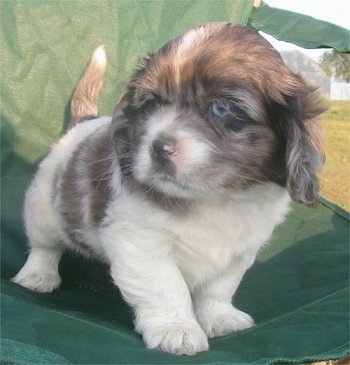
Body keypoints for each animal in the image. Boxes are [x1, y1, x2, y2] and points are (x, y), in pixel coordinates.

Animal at [13, 22, 326, 352]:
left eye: (221, 109)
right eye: (151, 103)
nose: (159, 147)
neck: (216, 198)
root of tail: (84, 123)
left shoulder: (240, 251)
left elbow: (219, 288)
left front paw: (219, 318)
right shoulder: (140, 241)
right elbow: (166, 287)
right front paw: (177, 329)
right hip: (42, 210)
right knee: (44, 247)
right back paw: (38, 275)